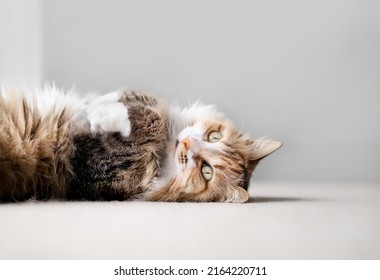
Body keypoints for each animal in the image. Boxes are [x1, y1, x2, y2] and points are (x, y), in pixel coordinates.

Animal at [0, 86, 280, 202]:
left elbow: (151, 118)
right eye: (214, 137)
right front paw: (100, 104)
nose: (187, 143)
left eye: (206, 172)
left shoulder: (93, 165)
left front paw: (100, 116)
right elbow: (143, 100)